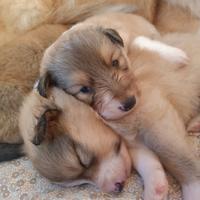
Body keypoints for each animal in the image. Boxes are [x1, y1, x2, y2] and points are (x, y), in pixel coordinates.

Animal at [38, 12, 200, 198]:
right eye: (84, 89)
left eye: (115, 62)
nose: (130, 103)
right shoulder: (134, 142)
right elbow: (148, 162)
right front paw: (155, 190)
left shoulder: (129, 36)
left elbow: (141, 40)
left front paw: (176, 55)